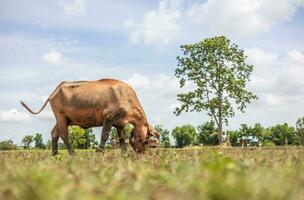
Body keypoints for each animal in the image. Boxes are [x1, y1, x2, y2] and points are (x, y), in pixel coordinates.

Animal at [20, 78, 160, 155]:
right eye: (145, 141)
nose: (141, 153)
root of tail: (56, 89)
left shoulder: (119, 123)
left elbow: (121, 139)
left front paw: (124, 154)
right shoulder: (109, 117)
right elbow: (105, 135)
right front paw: (99, 152)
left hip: (65, 119)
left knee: (55, 133)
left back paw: (55, 155)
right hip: (60, 116)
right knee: (64, 135)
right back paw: (73, 154)